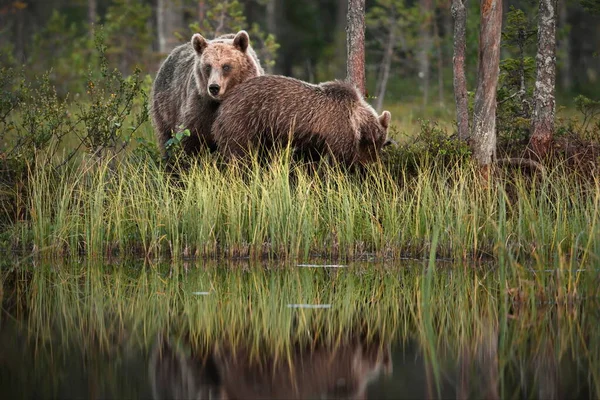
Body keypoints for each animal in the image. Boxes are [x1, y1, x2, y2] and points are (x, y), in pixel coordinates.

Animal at [150, 30, 262, 158]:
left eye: (226, 66)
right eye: (208, 66)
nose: (214, 87)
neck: (219, 101)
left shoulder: (244, 105)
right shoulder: (200, 107)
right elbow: (190, 136)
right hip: (165, 106)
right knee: (165, 136)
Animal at [212, 75, 394, 166]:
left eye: (381, 144)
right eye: (374, 144)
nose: (372, 165)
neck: (356, 120)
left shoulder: (315, 139)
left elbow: (309, 157)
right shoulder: (338, 129)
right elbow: (339, 159)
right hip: (245, 120)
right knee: (240, 154)